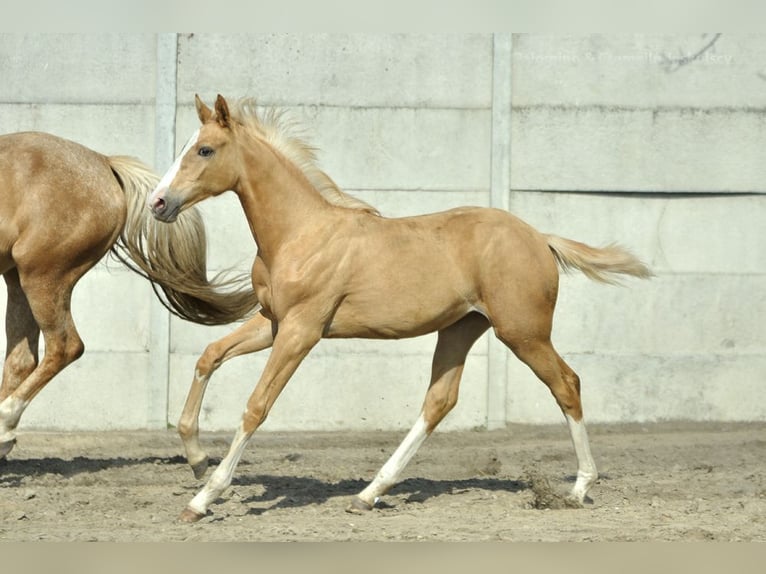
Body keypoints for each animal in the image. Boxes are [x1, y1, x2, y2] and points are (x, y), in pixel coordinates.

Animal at [0, 130, 260, 460]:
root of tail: (104, 162)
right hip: (19, 278)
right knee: (21, 358)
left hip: (43, 276)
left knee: (65, 346)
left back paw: (4, 422)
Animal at [148, 97, 656, 524]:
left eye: (206, 150)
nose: (158, 203)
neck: (301, 233)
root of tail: (539, 237)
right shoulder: (273, 323)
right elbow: (209, 355)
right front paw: (196, 462)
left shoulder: (302, 330)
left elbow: (257, 406)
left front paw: (203, 498)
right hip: (462, 328)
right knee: (439, 401)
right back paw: (369, 494)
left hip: (523, 332)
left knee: (566, 384)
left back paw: (579, 489)